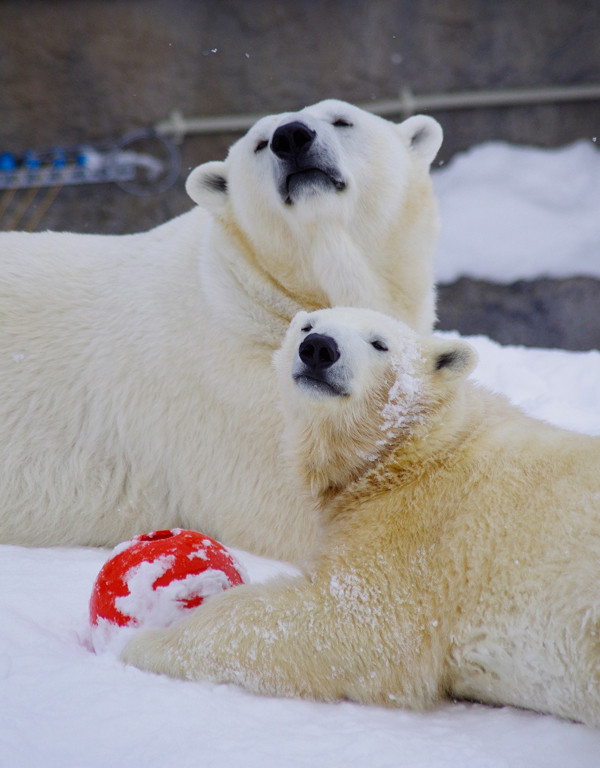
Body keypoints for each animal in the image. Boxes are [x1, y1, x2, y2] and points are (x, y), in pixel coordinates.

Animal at [122, 306, 600, 728]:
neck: (417, 450)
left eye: (379, 343)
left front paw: (148, 642)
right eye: (306, 326)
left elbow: (349, 618)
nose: (318, 348)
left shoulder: (423, 532)